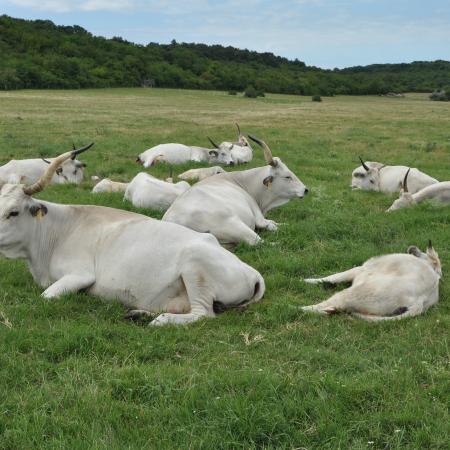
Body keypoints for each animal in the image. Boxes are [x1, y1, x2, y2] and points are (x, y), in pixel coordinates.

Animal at [0, 152, 266, 326]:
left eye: (14, 212)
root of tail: (253, 273)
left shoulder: (80, 275)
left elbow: (45, 297)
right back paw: (138, 314)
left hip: (195, 270)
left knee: (202, 314)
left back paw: (160, 320)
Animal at [164, 134, 310, 244]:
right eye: (287, 176)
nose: (305, 189)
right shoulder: (259, 218)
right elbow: (271, 225)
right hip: (237, 226)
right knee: (259, 242)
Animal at [300, 243, 442, 320]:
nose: (413, 248)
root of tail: (421, 300)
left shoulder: (360, 269)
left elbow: (331, 277)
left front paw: (304, 280)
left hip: (356, 292)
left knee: (323, 306)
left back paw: (297, 308)